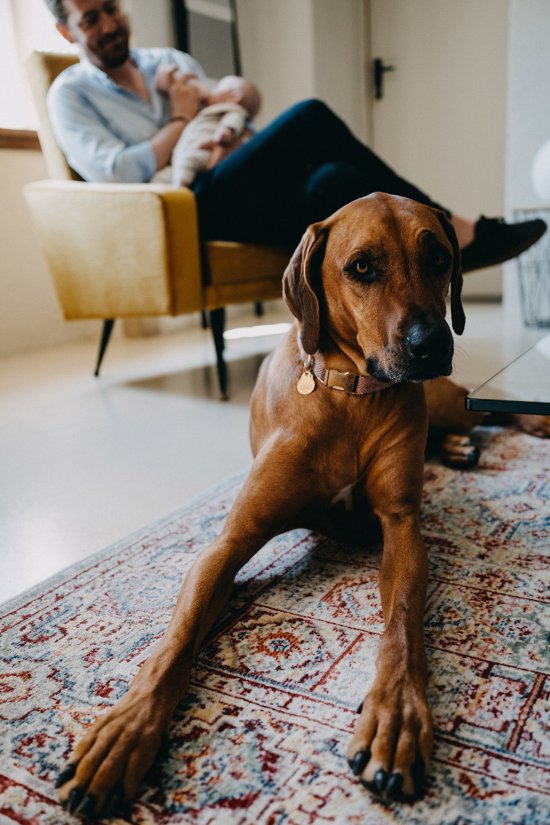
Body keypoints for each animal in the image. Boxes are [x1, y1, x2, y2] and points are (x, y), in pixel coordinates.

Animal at [57, 193, 470, 816]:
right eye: (362, 267)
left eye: (440, 257)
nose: (432, 344)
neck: (350, 396)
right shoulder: (228, 543)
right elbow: (173, 644)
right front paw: (123, 733)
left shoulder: (401, 527)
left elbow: (400, 625)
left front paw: (396, 715)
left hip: (443, 400)